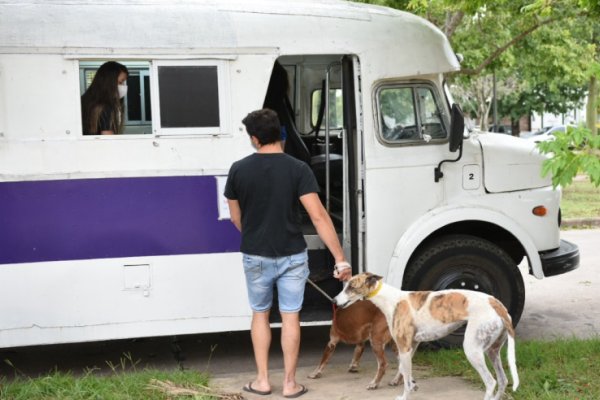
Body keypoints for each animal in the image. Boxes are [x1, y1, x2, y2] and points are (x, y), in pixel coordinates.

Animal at [332, 272, 520, 400]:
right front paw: (413, 385)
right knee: (503, 380)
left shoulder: (404, 347)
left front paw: (405, 394)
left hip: (472, 349)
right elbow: (403, 370)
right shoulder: (412, 346)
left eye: (351, 287)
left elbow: (405, 378)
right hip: (492, 351)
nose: (334, 301)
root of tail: (497, 305)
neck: (392, 300)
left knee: (491, 382)